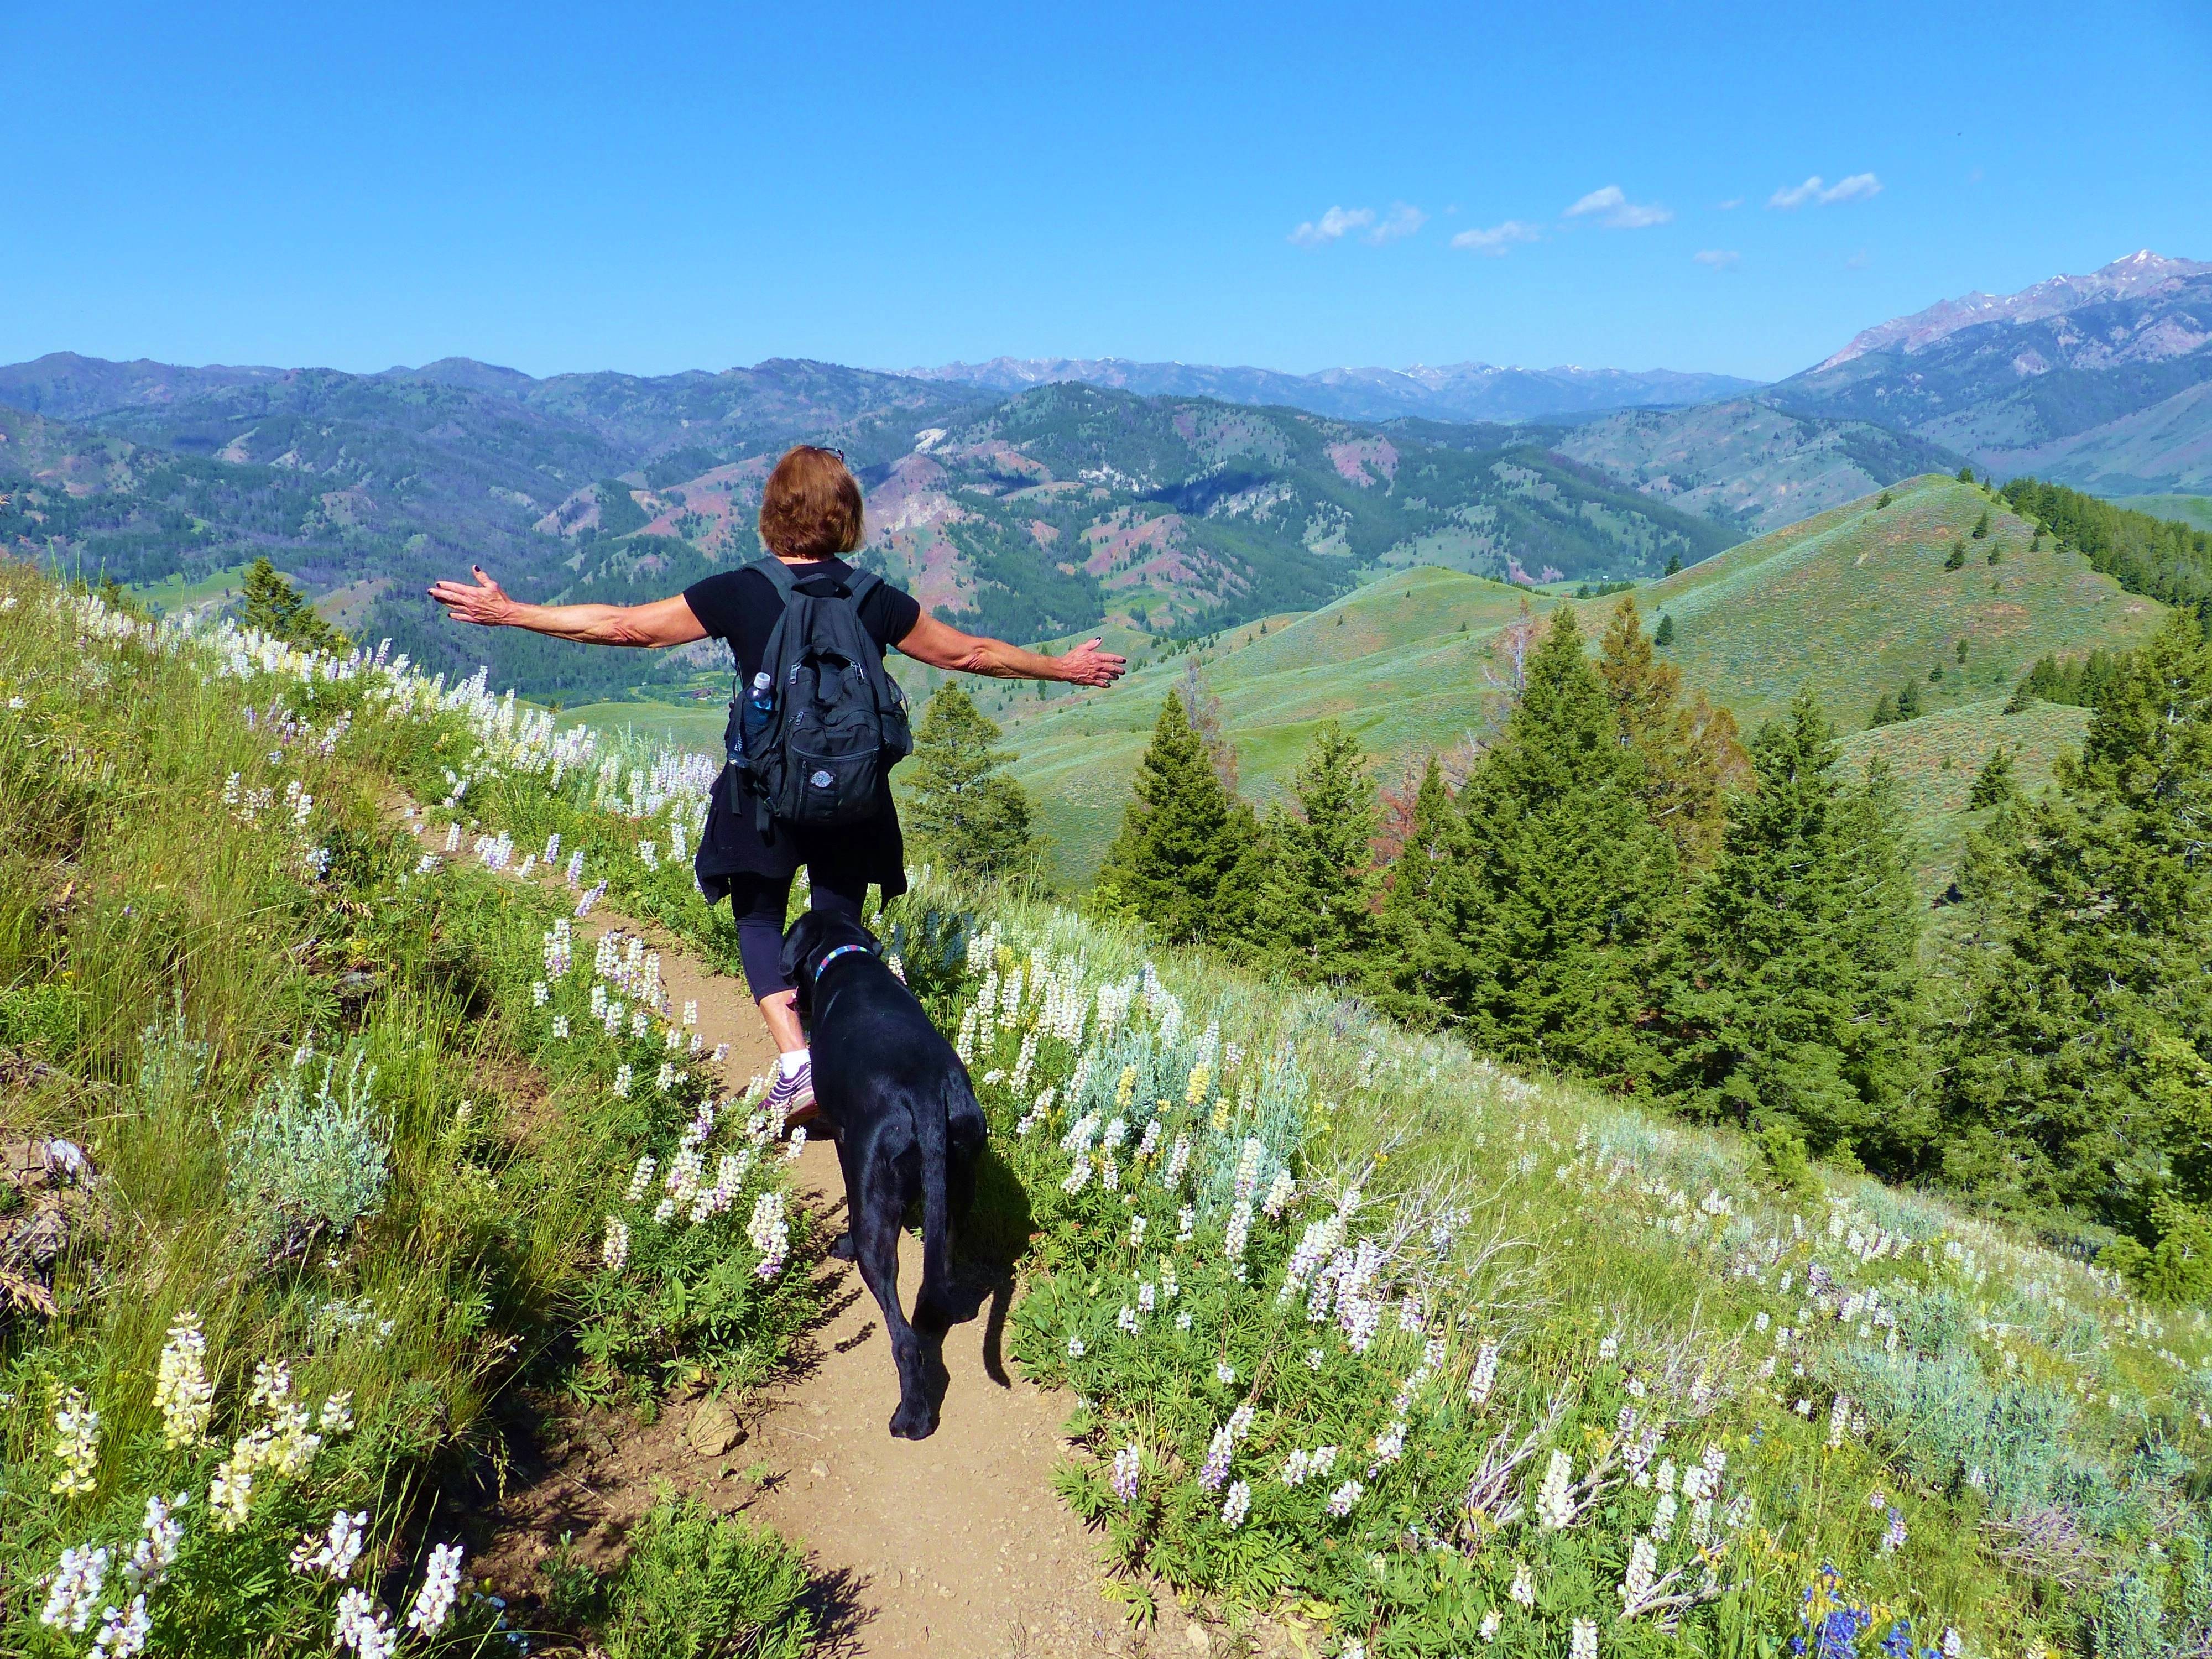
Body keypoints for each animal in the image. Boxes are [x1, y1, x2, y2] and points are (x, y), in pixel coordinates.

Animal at [779, 911, 987, 1442]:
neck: (846, 955)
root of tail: (927, 1090)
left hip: (878, 1220)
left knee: (904, 1337)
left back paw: (913, 1416)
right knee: (944, 1258)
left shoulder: (847, 1143)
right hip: (959, 1183)